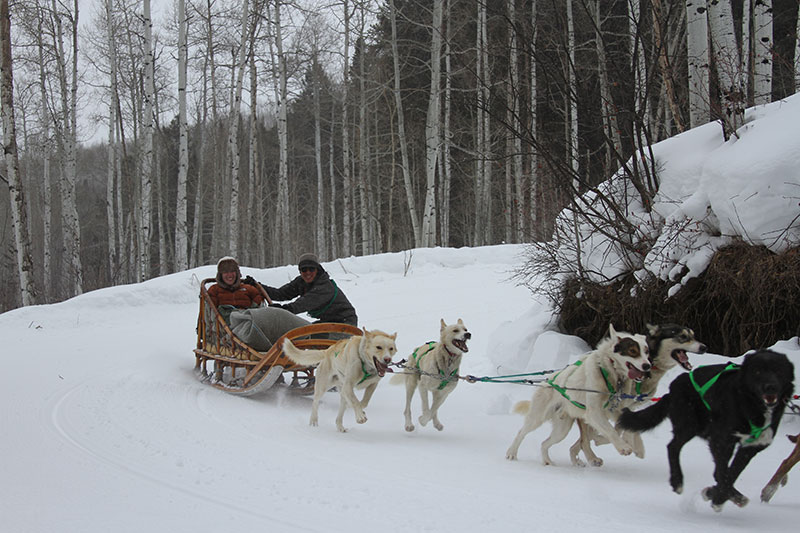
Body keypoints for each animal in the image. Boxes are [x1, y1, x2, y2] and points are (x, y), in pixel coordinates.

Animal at [506, 322, 648, 464]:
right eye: (633, 351)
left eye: (647, 352)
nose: (647, 365)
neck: (611, 376)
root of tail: (546, 382)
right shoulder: (594, 412)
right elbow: (611, 430)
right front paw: (623, 446)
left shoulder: (615, 410)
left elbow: (626, 427)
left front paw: (636, 446)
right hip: (537, 418)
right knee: (521, 433)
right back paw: (511, 453)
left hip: (561, 430)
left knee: (544, 443)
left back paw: (548, 461)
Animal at [568, 320, 708, 466]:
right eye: (683, 336)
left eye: (693, 335)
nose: (704, 347)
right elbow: (617, 429)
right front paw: (620, 442)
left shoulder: (626, 406)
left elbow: (625, 426)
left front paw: (631, 443)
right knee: (585, 438)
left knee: (579, 442)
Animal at [616, 350, 792, 512]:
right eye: (757, 371)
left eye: (778, 370)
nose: (770, 387)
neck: (750, 405)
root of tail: (674, 386)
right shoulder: (721, 441)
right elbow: (723, 475)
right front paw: (718, 497)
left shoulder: (752, 446)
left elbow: (730, 474)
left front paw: (718, 495)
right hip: (690, 424)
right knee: (673, 447)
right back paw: (677, 481)